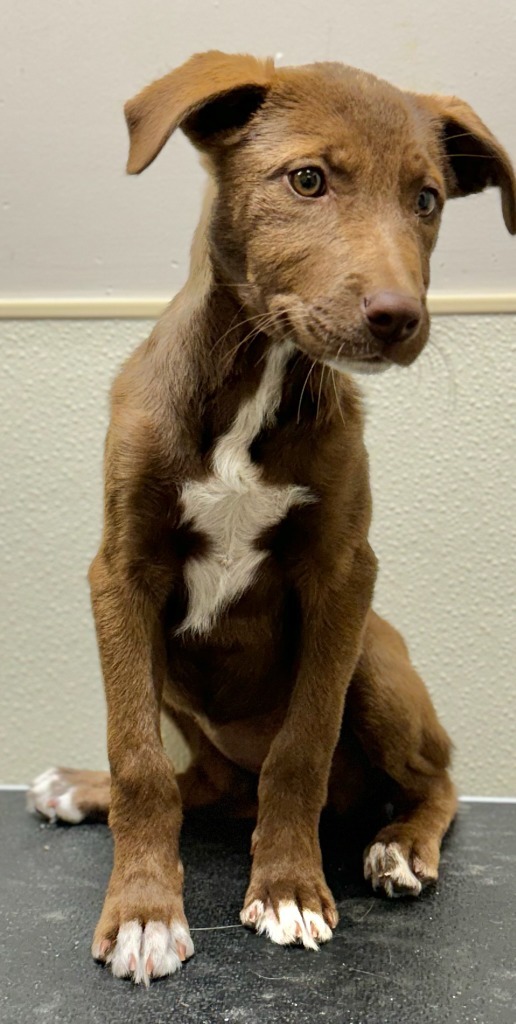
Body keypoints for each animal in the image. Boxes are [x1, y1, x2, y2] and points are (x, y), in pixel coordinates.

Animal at [28, 49, 516, 983]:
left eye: (427, 199)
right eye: (307, 179)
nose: (401, 318)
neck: (258, 379)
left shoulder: (343, 578)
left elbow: (303, 747)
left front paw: (287, 889)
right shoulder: (122, 572)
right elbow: (138, 758)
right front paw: (145, 910)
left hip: (374, 657)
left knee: (433, 782)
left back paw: (400, 846)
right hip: (181, 687)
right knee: (204, 783)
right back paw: (79, 790)